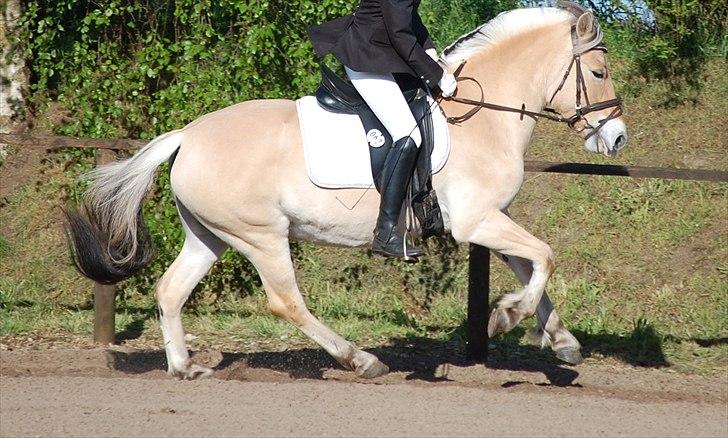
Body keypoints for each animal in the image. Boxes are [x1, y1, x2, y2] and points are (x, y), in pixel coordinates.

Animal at [65, 3, 628, 378]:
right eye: (599, 71)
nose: (617, 137)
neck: (484, 117)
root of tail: (188, 135)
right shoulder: (476, 221)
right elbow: (546, 256)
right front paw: (507, 318)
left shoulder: (492, 217)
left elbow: (535, 268)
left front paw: (560, 339)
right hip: (261, 235)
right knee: (285, 302)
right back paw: (361, 359)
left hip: (212, 234)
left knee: (171, 289)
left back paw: (184, 367)